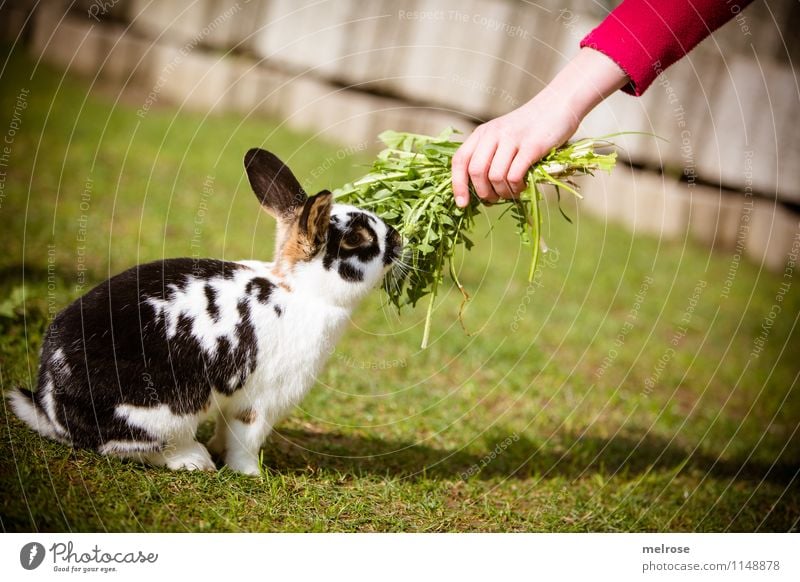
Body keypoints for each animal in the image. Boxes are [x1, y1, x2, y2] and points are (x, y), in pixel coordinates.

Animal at [10, 148, 404, 476]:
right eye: (356, 240)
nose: (399, 238)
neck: (300, 291)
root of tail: (51, 405)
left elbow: (225, 432)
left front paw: (222, 452)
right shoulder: (259, 403)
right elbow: (246, 440)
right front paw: (250, 474)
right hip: (160, 413)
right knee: (130, 447)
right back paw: (194, 460)